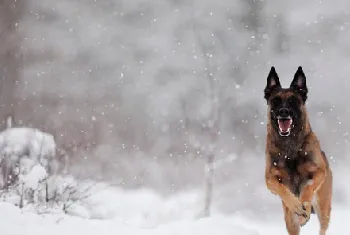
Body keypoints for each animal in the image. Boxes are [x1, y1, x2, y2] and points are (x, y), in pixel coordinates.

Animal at [264, 66, 332, 235]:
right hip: (289, 220)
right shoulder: (269, 179)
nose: (283, 112)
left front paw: (303, 205)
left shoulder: (319, 172)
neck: (290, 146)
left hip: (324, 209)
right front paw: (295, 204)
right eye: (275, 101)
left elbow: (307, 187)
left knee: (322, 228)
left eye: (293, 101)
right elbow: (283, 189)